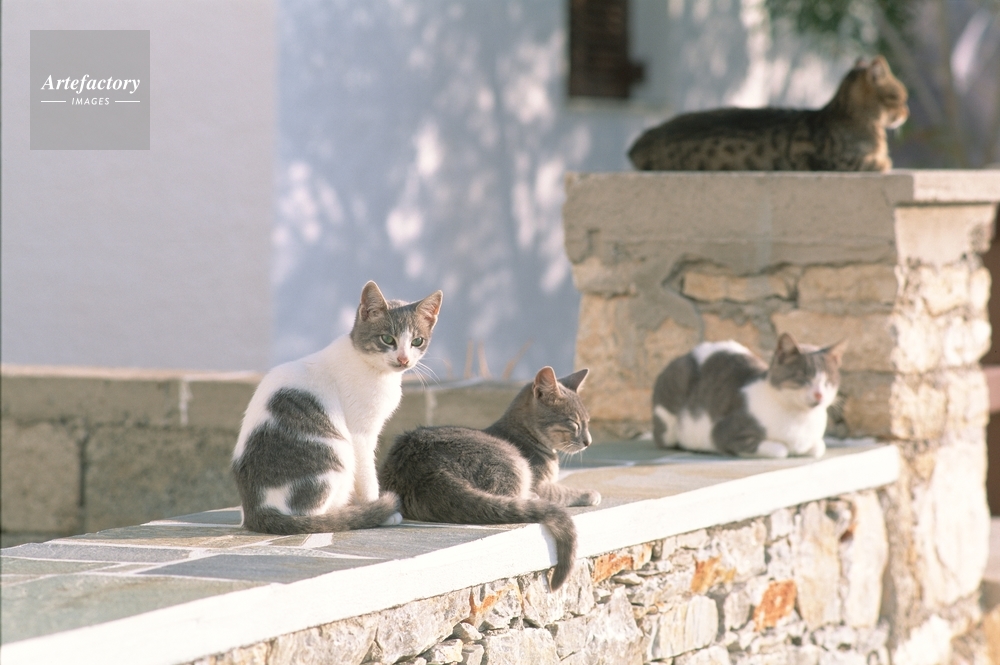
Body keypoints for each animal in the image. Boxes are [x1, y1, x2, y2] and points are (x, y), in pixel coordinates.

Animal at [231, 281, 443, 535]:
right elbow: (367, 475)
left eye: (417, 341)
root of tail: (256, 509)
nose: (403, 359)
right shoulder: (360, 435)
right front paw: (378, 509)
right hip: (338, 454)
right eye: (387, 339)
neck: (371, 366)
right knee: (317, 516)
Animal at [378, 366, 601, 590]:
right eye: (573, 423)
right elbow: (563, 491)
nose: (588, 441)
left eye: (588, 422)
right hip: (514, 466)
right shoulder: (539, 483)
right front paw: (590, 493)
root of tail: (423, 470)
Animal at [652, 334, 847, 458]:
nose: (819, 394)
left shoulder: (814, 442)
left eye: (828, 381)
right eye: (803, 379)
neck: (800, 419)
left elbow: (818, 447)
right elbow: (780, 450)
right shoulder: (724, 433)